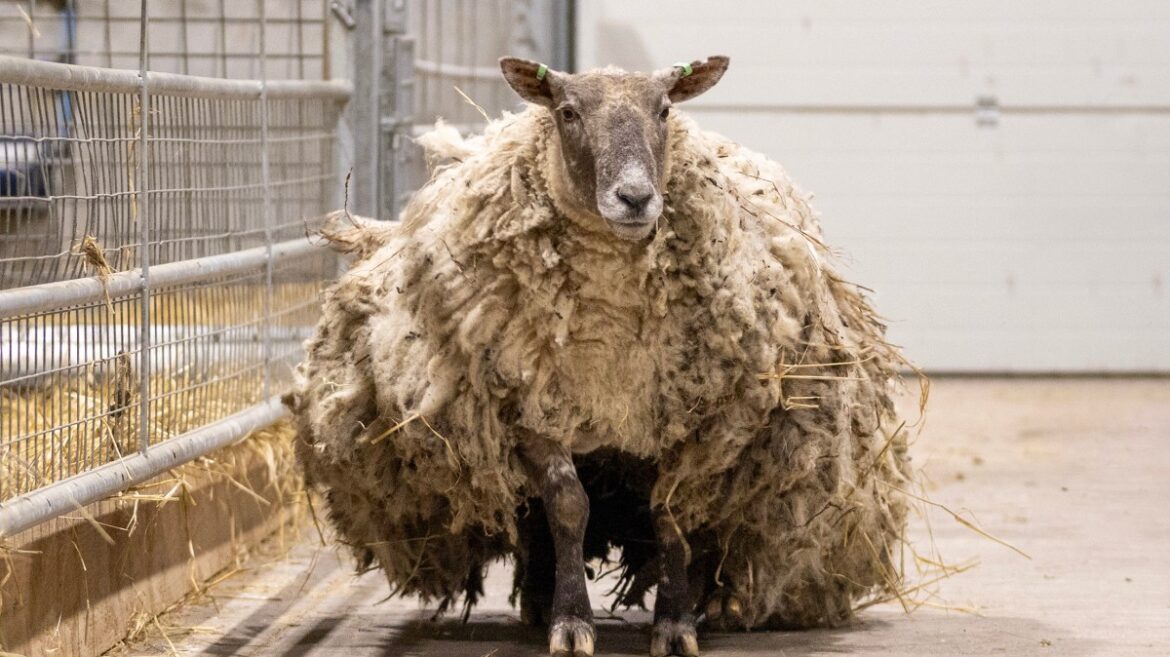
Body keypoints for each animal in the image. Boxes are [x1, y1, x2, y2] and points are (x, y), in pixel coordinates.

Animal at [288, 55, 917, 657]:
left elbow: (669, 514)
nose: (635, 197)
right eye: (568, 112)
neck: (609, 339)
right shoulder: (535, 410)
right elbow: (567, 507)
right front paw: (571, 623)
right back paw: (539, 600)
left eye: (664, 109)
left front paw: (675, 624)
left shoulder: (687, 417)